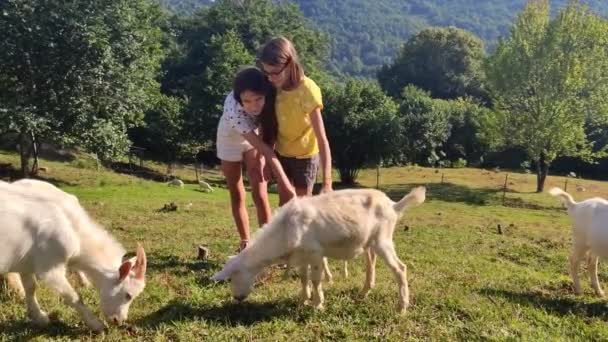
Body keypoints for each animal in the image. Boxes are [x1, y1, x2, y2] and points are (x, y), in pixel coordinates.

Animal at [0, 182, 147, 332]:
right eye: (128, 295)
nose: (119, 320)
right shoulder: (49, 266)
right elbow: (73, 297)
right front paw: (97, 325)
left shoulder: (27, 262)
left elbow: (31, 288)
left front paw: (39, 317)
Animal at [211, 187, 426, 312]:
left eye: (232, 277)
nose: (237, 298)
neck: (284, 230)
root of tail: (394, 205)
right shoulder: (301, 255)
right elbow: (304, 278)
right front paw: (303, 300)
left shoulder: (315, 253)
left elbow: (315, 279)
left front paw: (317, 304)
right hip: (370, 242)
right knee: (371, 263)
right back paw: (364, 293)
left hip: (383, 239)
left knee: (400, 269)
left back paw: (402, 307)